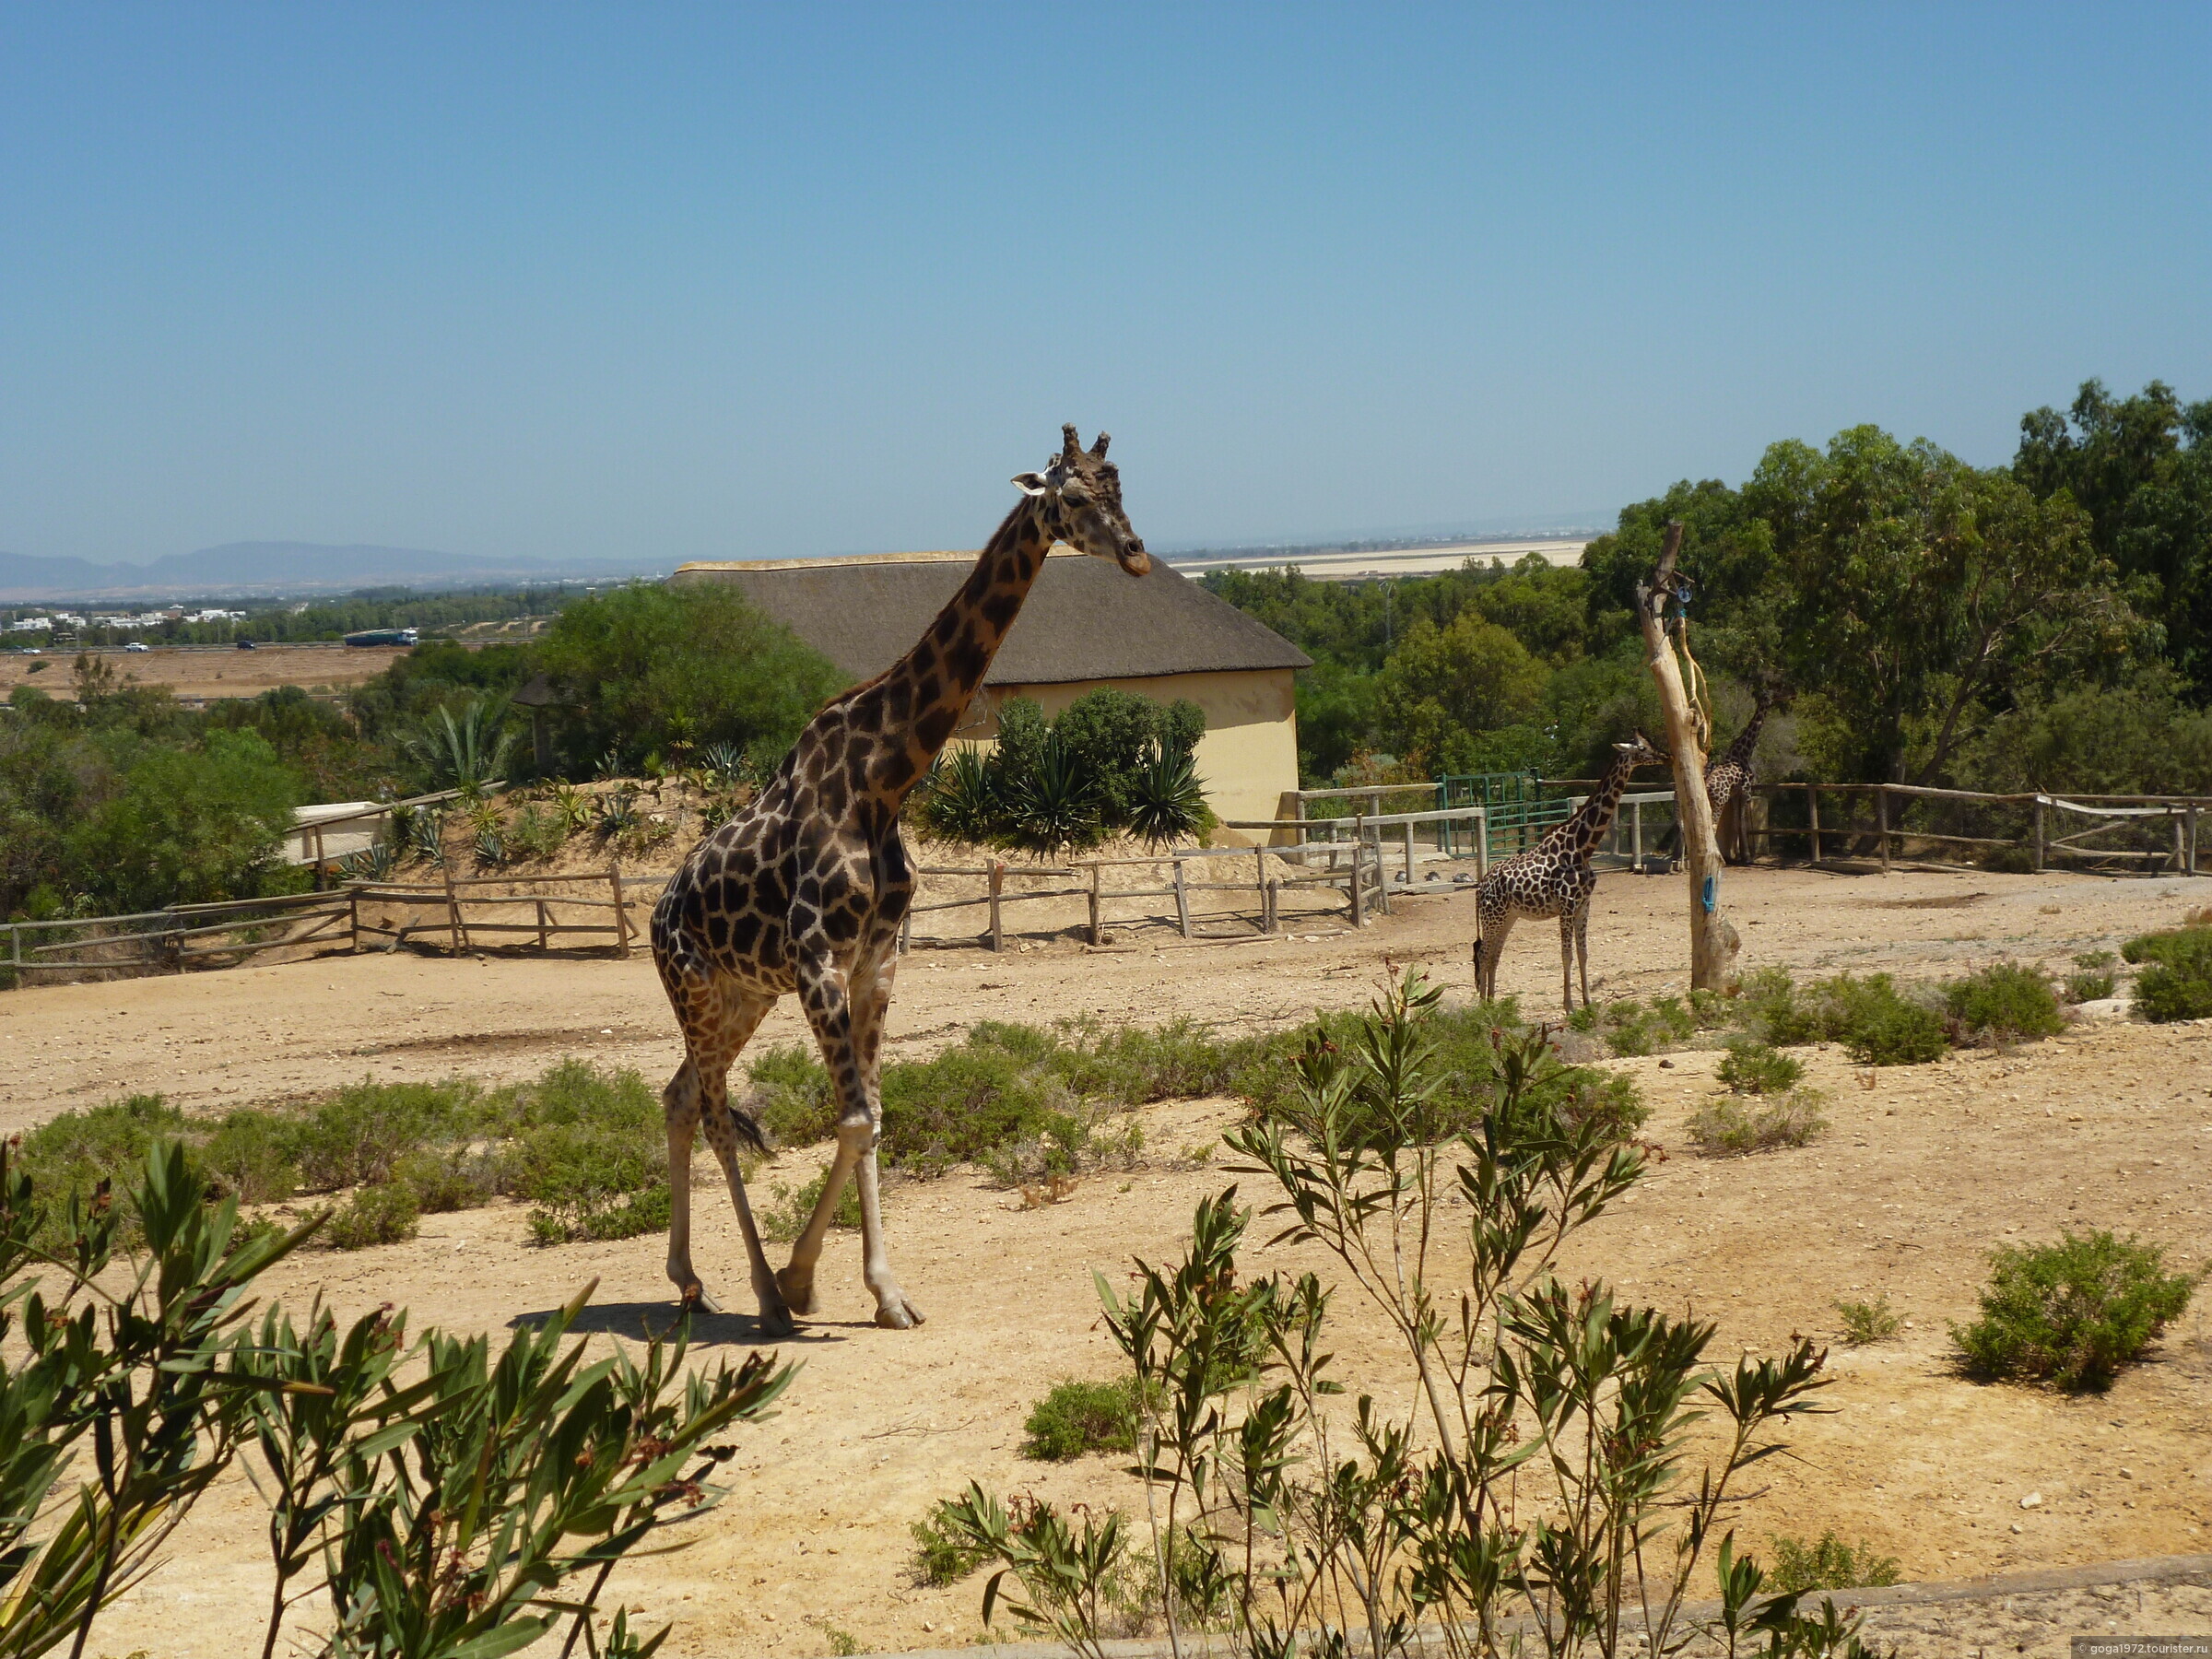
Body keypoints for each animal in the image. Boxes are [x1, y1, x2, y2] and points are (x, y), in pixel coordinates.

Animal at [645, 429, 1150, 1335]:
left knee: (677, 1100)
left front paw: (876, 1290)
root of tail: (655, 915)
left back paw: (692, 1280)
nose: (1135, 554)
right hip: (696, 989)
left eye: (1121, 486)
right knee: (714, 1117)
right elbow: (852, 1119)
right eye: (1071, 495)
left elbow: (873, 1119)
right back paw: (761, 1298)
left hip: (743, 996)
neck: (884, 780)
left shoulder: (877, 960)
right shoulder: (817, 960)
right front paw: (805, 1284)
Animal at [1477, 738, 1663, 1021]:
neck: (1581, 848)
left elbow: (1583, 953)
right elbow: (1566, 955)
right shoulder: (1566, 904)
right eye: (1642, 748)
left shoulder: (1584, 904)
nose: (1663, 755)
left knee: (1495, 954)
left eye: (1649, 744)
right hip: (1493, 917)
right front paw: (1569, 1006)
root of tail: (1480, 888)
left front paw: (1588, 1001)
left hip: (1508, 917)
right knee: (1484, 953)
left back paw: (1492, 1003)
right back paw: (1482, 1006)